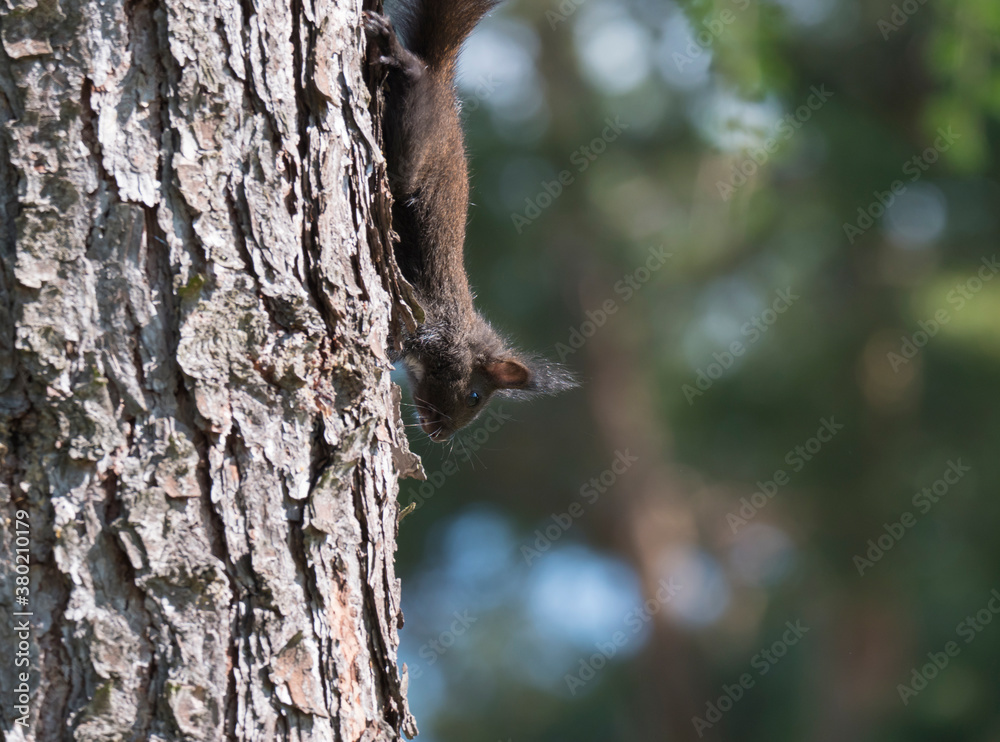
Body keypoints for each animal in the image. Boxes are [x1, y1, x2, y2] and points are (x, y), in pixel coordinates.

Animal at [364, 0, 576, 442]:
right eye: (475, 396)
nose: (440, 436)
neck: (460, 330)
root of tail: (444, 82)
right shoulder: (427, 317)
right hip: (417, 142)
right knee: (415, 78)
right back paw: (399, 53)